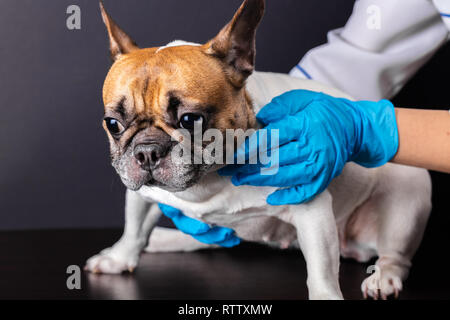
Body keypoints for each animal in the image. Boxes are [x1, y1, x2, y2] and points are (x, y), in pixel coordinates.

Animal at [85, 0, 432, 300]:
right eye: (113, 124)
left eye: (190, 119)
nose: (146, 151)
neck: (209, 181)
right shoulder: (140, 192)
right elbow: (134, 225)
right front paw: (119, 257)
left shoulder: (312, 208)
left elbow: (320, 268)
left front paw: (326, 296)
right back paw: (168, 238)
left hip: (405, 204)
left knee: (395, 256)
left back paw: (384, 277)